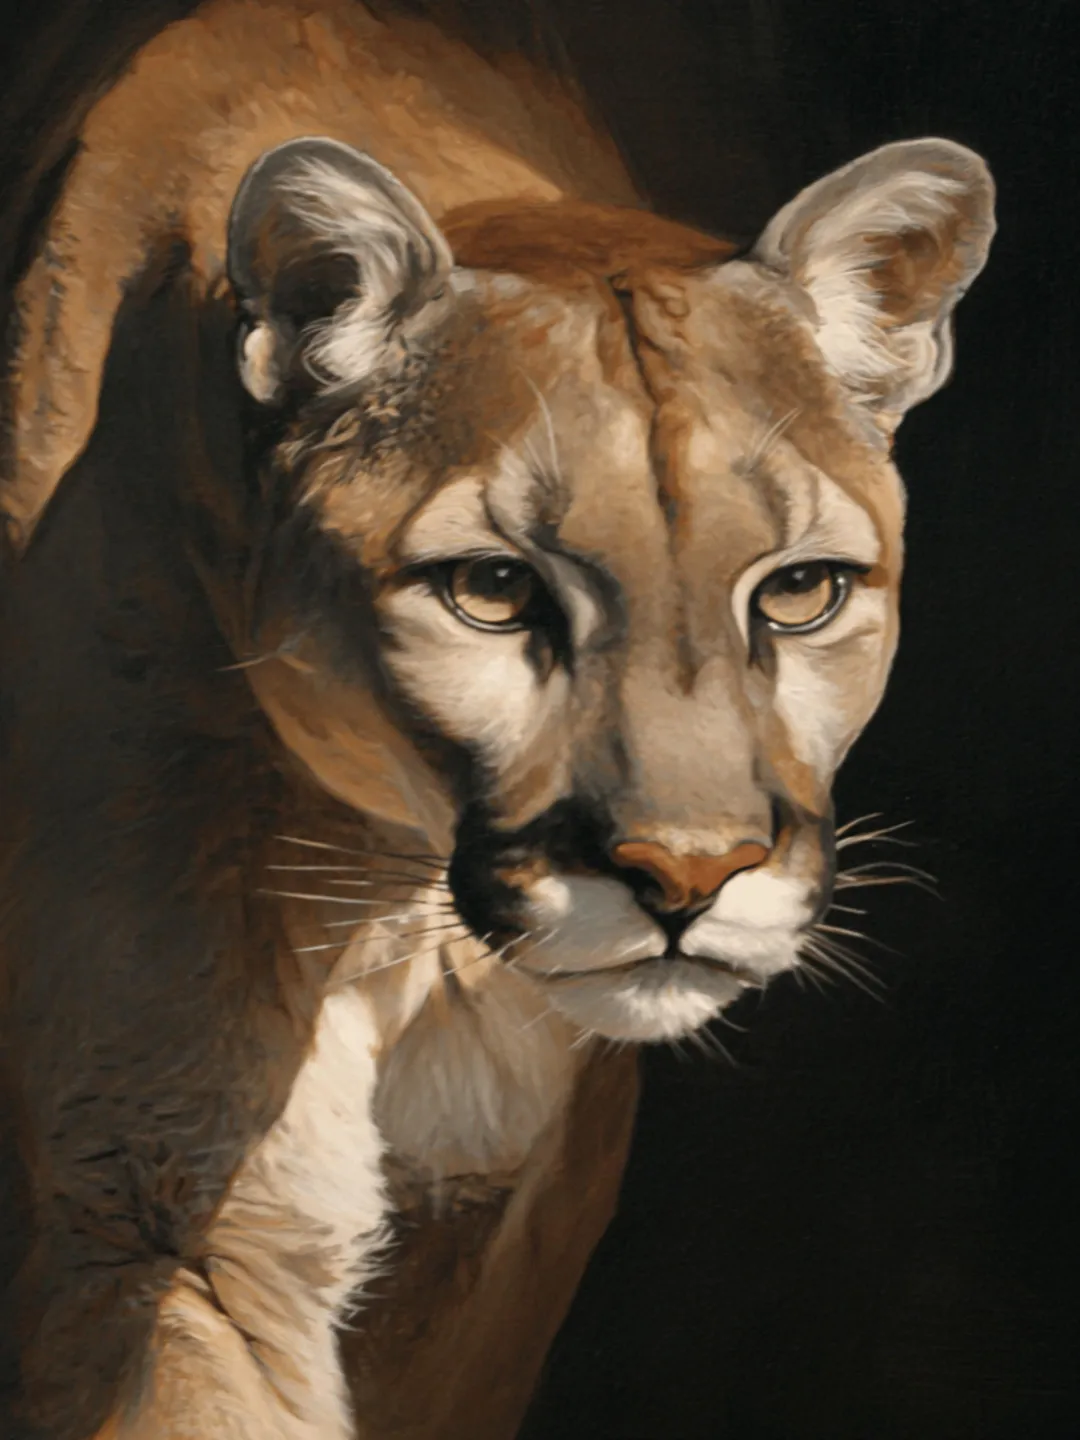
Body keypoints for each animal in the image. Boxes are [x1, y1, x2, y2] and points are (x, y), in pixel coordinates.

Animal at [0, 1, 995, 1436]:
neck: (395, 912)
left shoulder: (508, 1222)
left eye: (800, 591)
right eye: (493, 589)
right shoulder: (159, 1203)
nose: (687, 876)